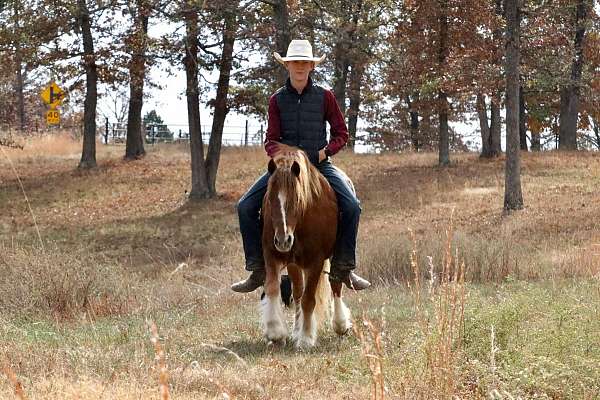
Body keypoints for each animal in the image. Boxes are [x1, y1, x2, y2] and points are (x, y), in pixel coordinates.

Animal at [262, 145, 352, 348]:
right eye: (270, 199)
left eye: (296, 200)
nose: (283, 240)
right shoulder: (271, 254)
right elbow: (273, 288)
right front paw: (276, 331)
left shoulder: (316, 260)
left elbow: (309, 299)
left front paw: (306, 338)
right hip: (293, 263)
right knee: (297, 293)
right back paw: (296, 329)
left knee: (335, 284)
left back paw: (340, 324)